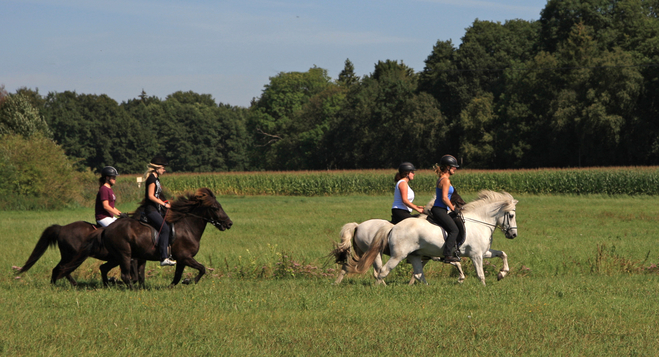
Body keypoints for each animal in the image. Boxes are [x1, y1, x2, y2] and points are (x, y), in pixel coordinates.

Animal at [59, 188, 233, 288]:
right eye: (215, 208)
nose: (229, 223)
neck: (187, 227)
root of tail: (107, 229)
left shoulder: (182, 259)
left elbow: (177, 276)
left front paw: (175, 285)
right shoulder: (185, 257)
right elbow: (202, 268)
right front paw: (189, 281)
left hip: (117, 256)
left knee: (104, 268)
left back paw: (109, 284)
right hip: (124, 254)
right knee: (124, 275)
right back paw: (127, 287)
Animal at [332, 191, 466, 286]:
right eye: (455, 195)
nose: (463, 204)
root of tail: (358, 226)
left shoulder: (426, 256)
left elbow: (420, 270)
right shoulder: (435, 256)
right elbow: (456, 262)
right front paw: (461, 278)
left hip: (363, 252)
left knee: (347, 266)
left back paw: (336, 283)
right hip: (375, 254)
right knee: (378, 271)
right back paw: (382, 285)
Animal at [354, 191, 520, 286]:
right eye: (511, 215)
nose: (513, 235)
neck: (479, 222)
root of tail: (393, 227)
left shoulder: (484, 252)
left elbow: (503, 254)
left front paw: (501, 274)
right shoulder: (476, 255)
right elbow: (480, 275)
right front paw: (483, 288)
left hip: (414, 255)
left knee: (419, 274)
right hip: (397, 255)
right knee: (382, 271)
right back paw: (379, 288)